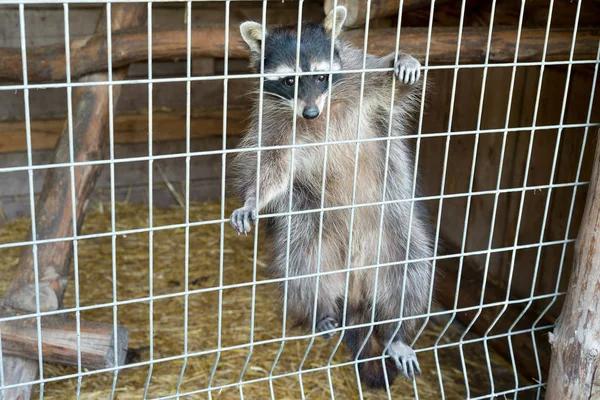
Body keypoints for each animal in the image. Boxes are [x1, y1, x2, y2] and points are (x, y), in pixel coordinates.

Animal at [232, 5, 434, 388]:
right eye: (289, 81)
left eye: (321, 77)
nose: (310, 113)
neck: (320, 110)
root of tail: (355, 277)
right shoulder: (274, 117)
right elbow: (272, 165)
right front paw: (253, 198)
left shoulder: (358, 80)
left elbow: (391, 93)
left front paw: (401, 61)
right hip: (311, 222)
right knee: (302, 267)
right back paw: (320, 311)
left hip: (392, 225)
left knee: (409, 270)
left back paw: (397, 331)